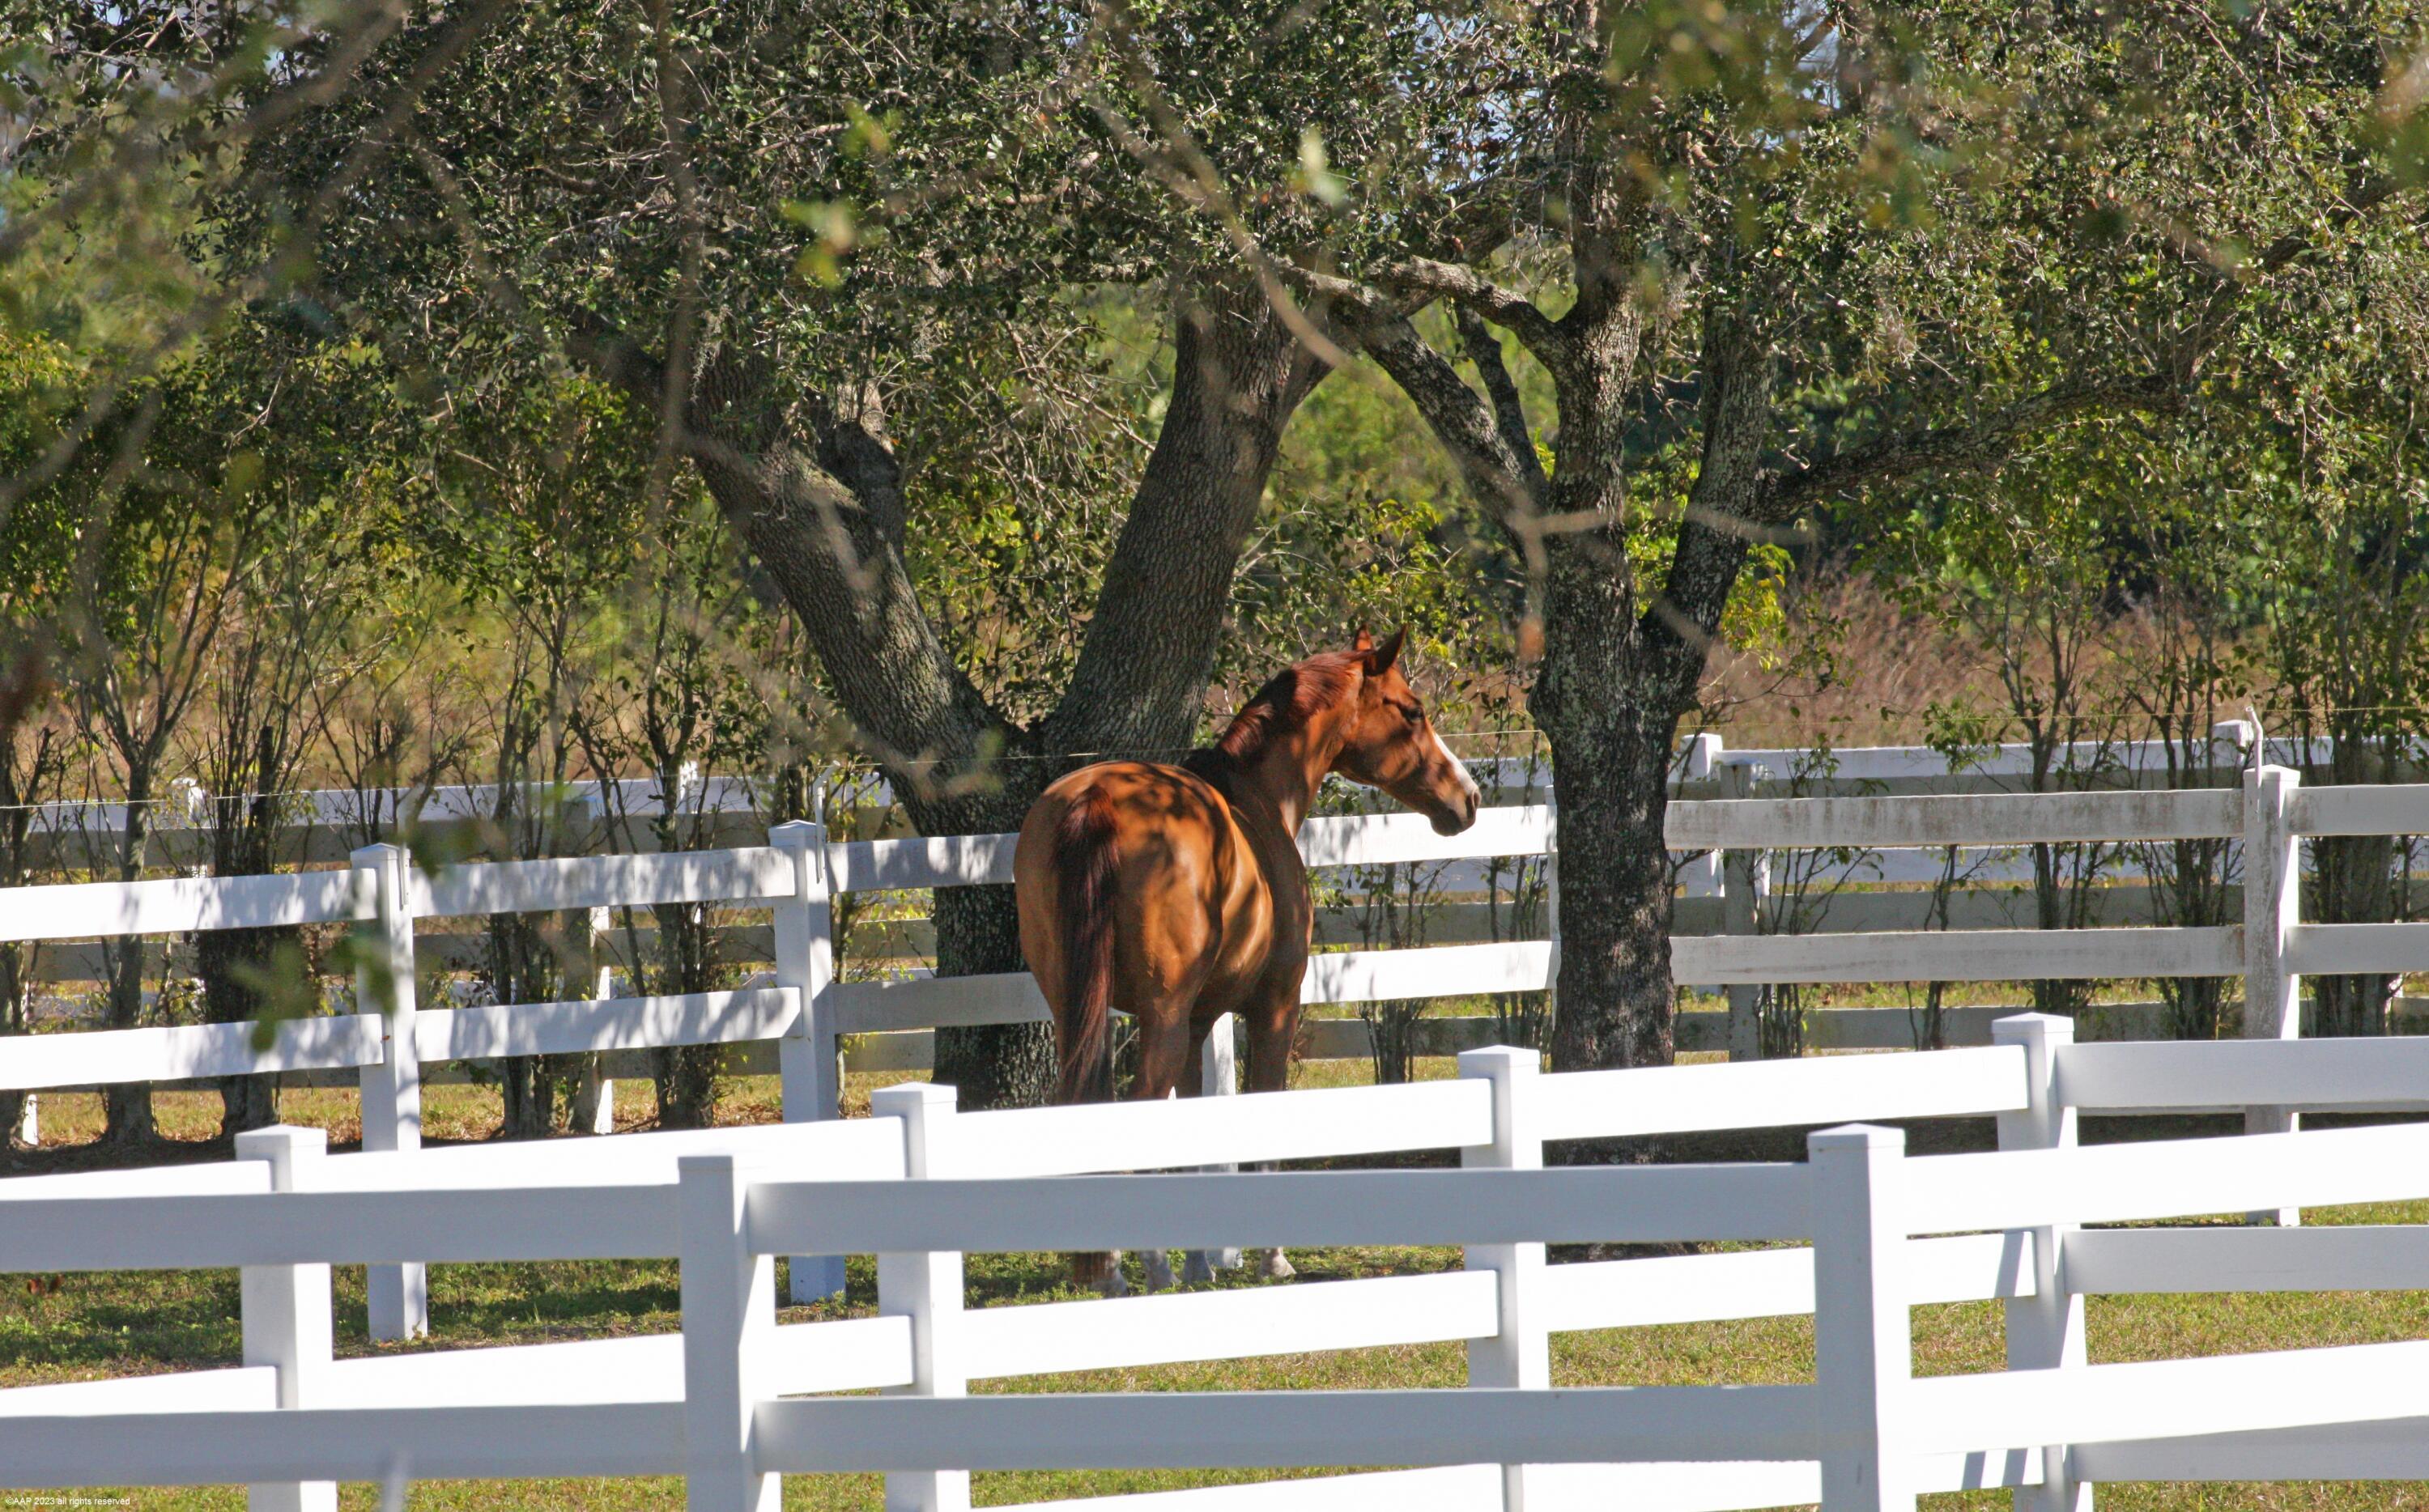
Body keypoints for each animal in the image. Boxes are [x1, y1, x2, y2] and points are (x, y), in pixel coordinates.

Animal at [1014, 628, 1481, 1295]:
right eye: (1412, 711)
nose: (1467, 799)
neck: (1254, 802)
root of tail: (1097, 798)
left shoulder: (1198, 1023)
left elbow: (1197, 1130)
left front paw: (1201, 1260)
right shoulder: (1274, 1007)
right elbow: (1263, 1108)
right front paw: (1270, 1257)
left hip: (1080, 1013)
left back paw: (1106, 1264)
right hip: (1159, 1018)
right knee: (1138, 1108)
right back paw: (1136, 1266)